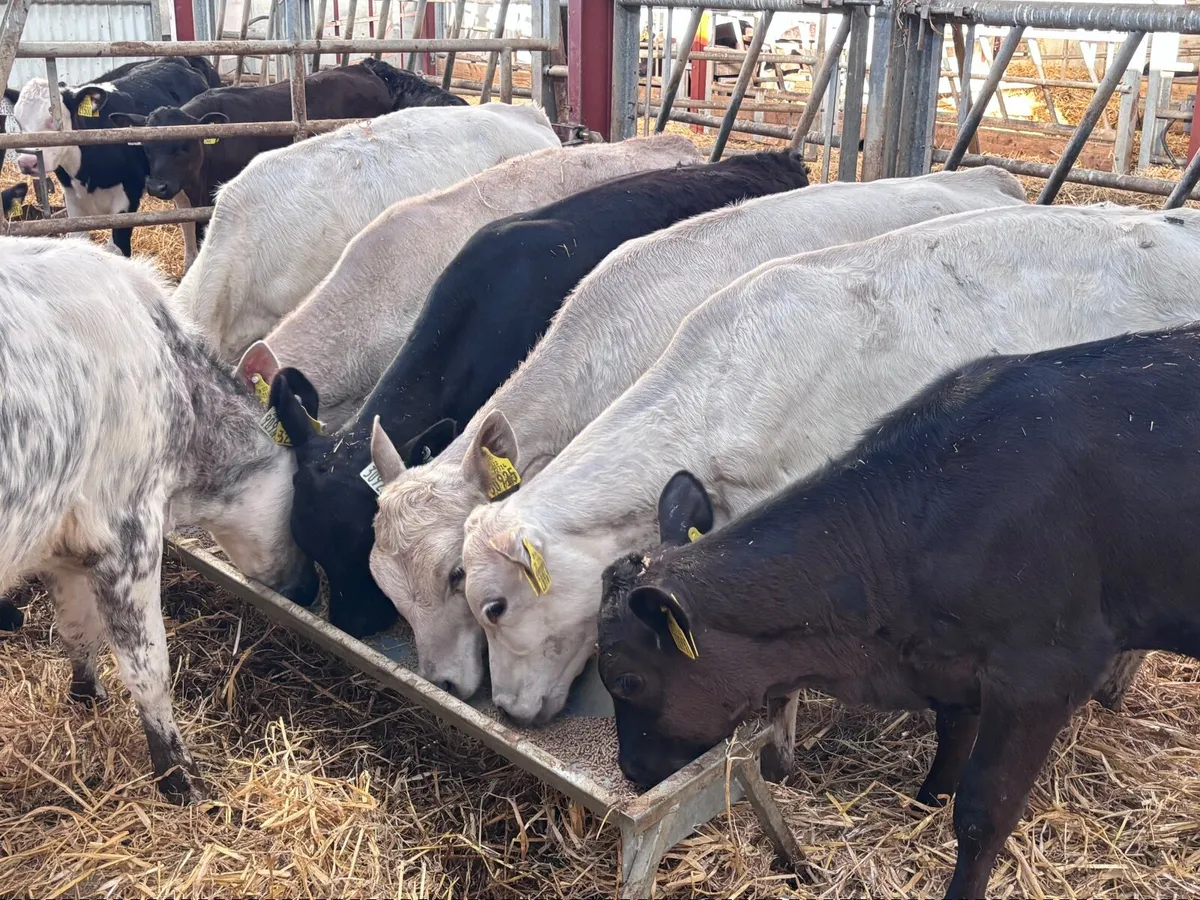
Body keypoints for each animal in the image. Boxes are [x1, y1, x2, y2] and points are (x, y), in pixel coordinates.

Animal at [0, 235, 319, 804]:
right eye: (303, 508)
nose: (309, 589)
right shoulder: (128, 534)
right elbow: (149, 668)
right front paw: (179, 778)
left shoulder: (67, 543)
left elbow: (77, 631)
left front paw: (87, 697)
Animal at [5, 57, 220, 257]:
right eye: (18, 121)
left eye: (55, 119)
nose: (27, 162)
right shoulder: (73, 201)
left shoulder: (127, 199)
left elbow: (117, 249)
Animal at [598, 325, 1200, 899]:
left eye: (626, 680)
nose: (630, 770)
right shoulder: (953, 659)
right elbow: (951, 740)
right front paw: (925, 804)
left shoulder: (1043, 673)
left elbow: (984, 812)